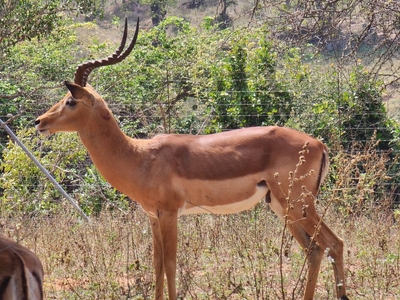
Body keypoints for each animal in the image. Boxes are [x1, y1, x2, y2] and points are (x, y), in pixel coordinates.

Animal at [35, 18, 350, 300]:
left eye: (70, 101)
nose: (40, 122)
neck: (140, 157)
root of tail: (318, 144)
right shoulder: (153, 217)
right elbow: (157, 265)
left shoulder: (170, 213)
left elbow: (171, 265)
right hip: (282, 207)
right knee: (315, 249)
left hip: (298, 204)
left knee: (334, 243)